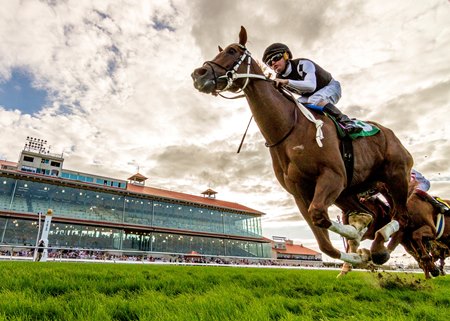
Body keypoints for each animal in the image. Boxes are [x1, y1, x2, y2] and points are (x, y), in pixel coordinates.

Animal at [192, 25, 414, 264]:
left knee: (402, 217)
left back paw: (380, 247)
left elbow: (320, 215)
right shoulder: (300, 193)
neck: (289, 129)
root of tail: (391, 134)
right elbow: (326, 243)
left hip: (395, 177)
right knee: (373, 213)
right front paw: (357, 248)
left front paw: (361, 242)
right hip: (349, 191)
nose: (198, 74)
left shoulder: (332, 176)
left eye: (232, 51)